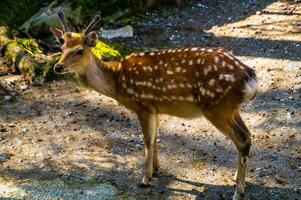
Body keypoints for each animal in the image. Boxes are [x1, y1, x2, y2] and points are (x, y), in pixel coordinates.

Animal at [50, 13, 256, 199]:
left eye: (79, 50)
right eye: (61, 47)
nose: (57, 67)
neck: (117, 82)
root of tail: (249, 77)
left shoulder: (143, 105)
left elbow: (147, 140)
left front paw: (145, 178)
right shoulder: (156, 108)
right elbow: (156, 136)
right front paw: (156, 169)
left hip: (216, 106)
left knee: (242, 139)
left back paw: (238, 192)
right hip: (231, 109)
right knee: (248, 134)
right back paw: (237, 178)